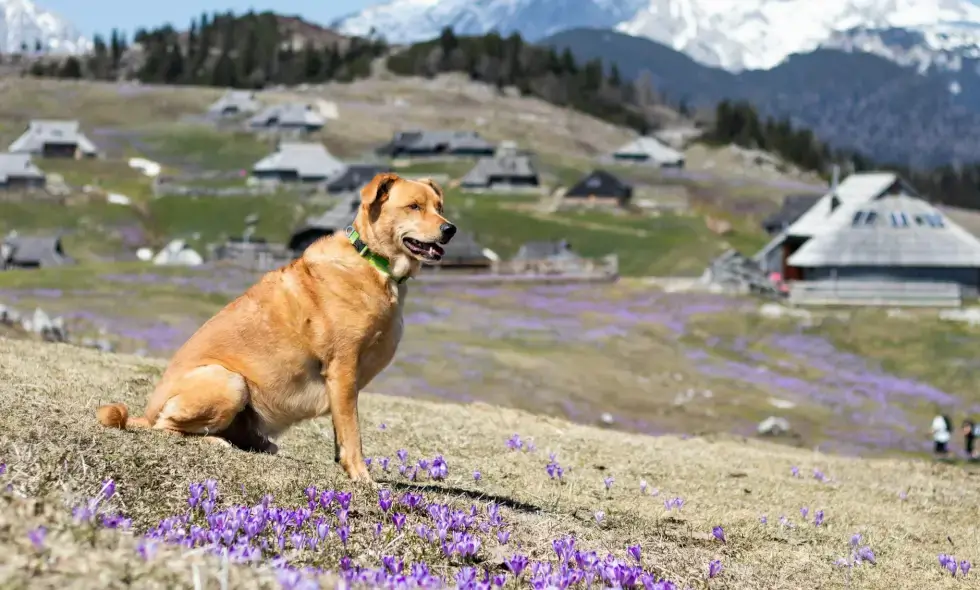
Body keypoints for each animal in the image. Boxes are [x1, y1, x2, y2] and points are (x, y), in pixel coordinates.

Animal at [95, 172, 456, 486]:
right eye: (414, 206)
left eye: (439, 206)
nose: (450, 229)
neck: (372, 263)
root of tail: (147, 410)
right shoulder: (343, 369)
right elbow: (352, 433)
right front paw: (362, 478)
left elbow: (341, 433)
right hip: (229, 381)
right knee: (166, 427)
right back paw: (214, 443)